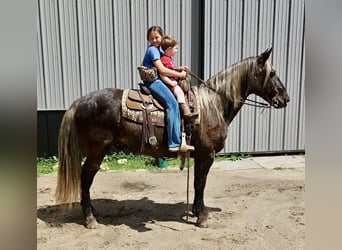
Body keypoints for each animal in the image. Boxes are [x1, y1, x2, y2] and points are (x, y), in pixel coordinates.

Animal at [55, 47, 288, 229]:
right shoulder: (206, 155)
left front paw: (196, 211)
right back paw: (90, 219)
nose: (285, 98)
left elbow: (197, 183)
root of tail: (79, 102)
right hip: (97, 152)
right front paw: (201, 216)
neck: (213, 105)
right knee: (85, 179)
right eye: (272, 73)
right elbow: (200, 183)